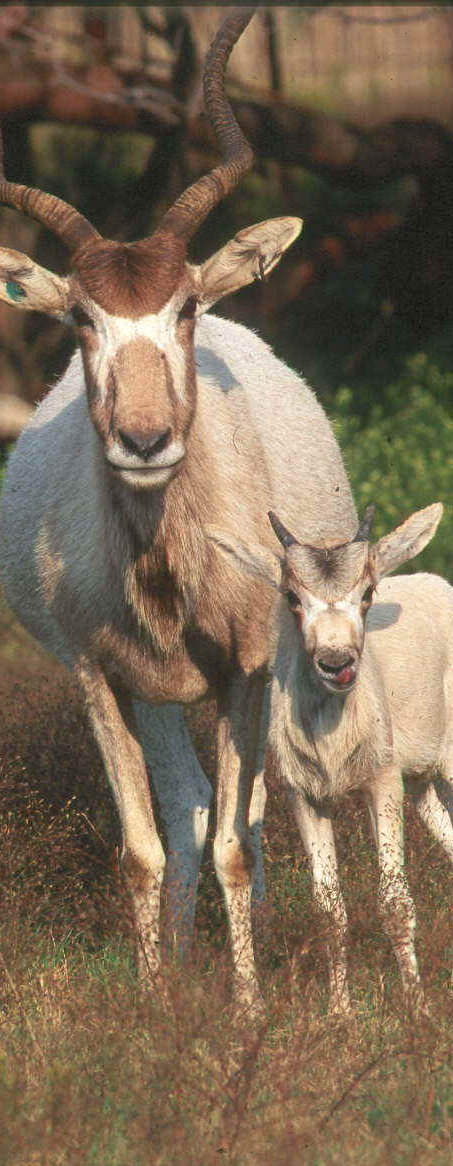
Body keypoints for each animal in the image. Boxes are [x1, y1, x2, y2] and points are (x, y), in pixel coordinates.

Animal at [0, 9, 356, 1012]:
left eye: (184, 304)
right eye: (82, 315)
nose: (146, 438)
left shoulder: (245, 673)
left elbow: (238, 842)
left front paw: (246, 1010)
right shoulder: (98, 678)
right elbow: (143, 850)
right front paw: (159, 1002)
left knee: (254, 814)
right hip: (158, 696)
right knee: (190, 800)